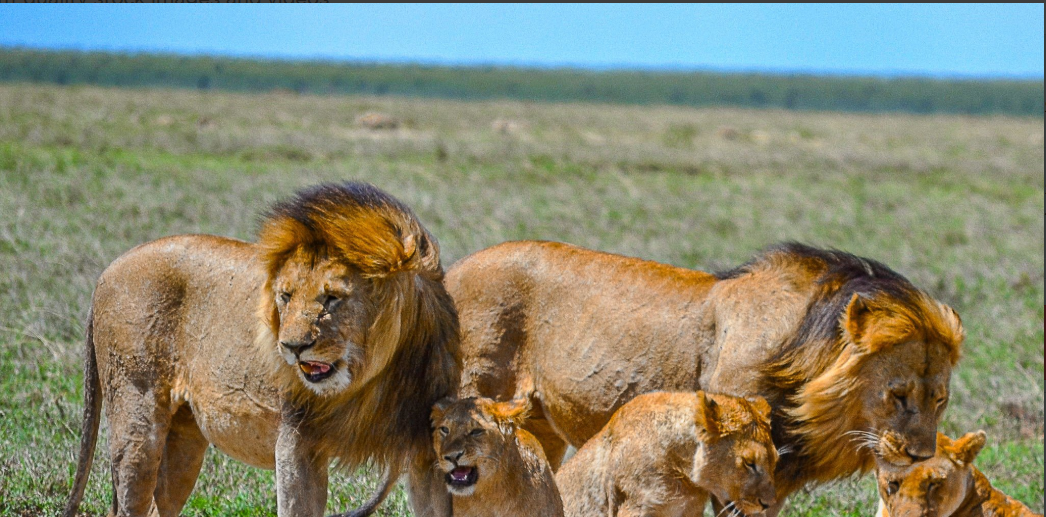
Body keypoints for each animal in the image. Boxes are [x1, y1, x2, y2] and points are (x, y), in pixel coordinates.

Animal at [64, 182, 459, 517]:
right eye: (285, 296)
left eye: (332, 298)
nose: (292, 347)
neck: (372, 379)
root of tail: (107, 271)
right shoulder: (296, 442)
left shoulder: (427, 452)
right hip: (136, 416)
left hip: (183, 440)